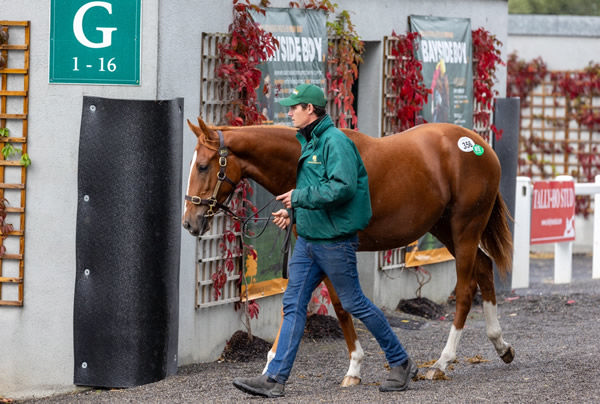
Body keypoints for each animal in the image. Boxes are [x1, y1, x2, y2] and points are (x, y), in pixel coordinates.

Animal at [183, 117, 516, 386]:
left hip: (465, 229)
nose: (189, 222)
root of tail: (480, 145)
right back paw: (501, 345)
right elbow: (327, 305)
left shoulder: (333, 250)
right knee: (484, 268)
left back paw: (442, 362)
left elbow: (340, 304)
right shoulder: (316, 251)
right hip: (444, 228)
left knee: (465, 290)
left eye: (203, 166)